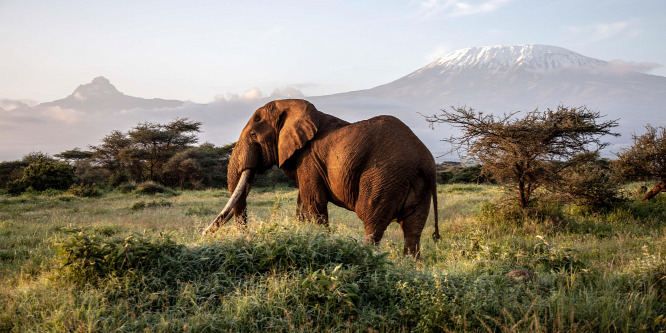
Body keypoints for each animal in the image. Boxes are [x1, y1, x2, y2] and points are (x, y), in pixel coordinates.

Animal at [205, 98, 438, 256]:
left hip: (383, 177)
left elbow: (314, 202)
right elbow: (302, 205)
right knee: (413, 231)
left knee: (372, 223)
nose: (204, 235)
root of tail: (426, 162)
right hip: (417, 185)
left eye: (253, 135)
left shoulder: (308, 159)